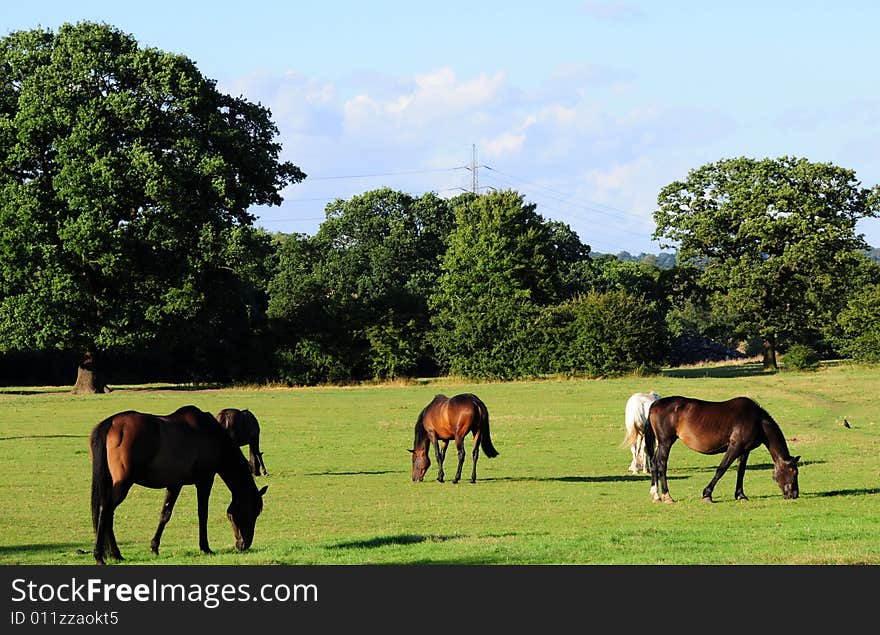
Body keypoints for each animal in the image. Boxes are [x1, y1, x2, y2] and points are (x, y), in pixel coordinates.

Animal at [90, 404, 270, 564]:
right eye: (253, 512)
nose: (244, 544)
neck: (212, 436)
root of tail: (111, 423)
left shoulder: (174, 484)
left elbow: (165, 514)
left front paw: (154, 547)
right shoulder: (204, 481)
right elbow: (202, 514)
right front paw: (205, 548)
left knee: (107, 513)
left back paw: (115, 554)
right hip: (123, 484)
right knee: (105, 510)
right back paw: (100, 555)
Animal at [644, 396, 800, 504]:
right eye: (794, 472)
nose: (795, 495)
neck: (757, 421)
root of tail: (655, 404)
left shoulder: (744, 451)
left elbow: (741, 471)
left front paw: (741, 495)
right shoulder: (734, 447)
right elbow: (721, 469)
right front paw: (707, 495)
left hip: (662, 444)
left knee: (654, 463)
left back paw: (656, 495)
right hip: (666, 442)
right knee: (661, 465)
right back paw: (667, 496)